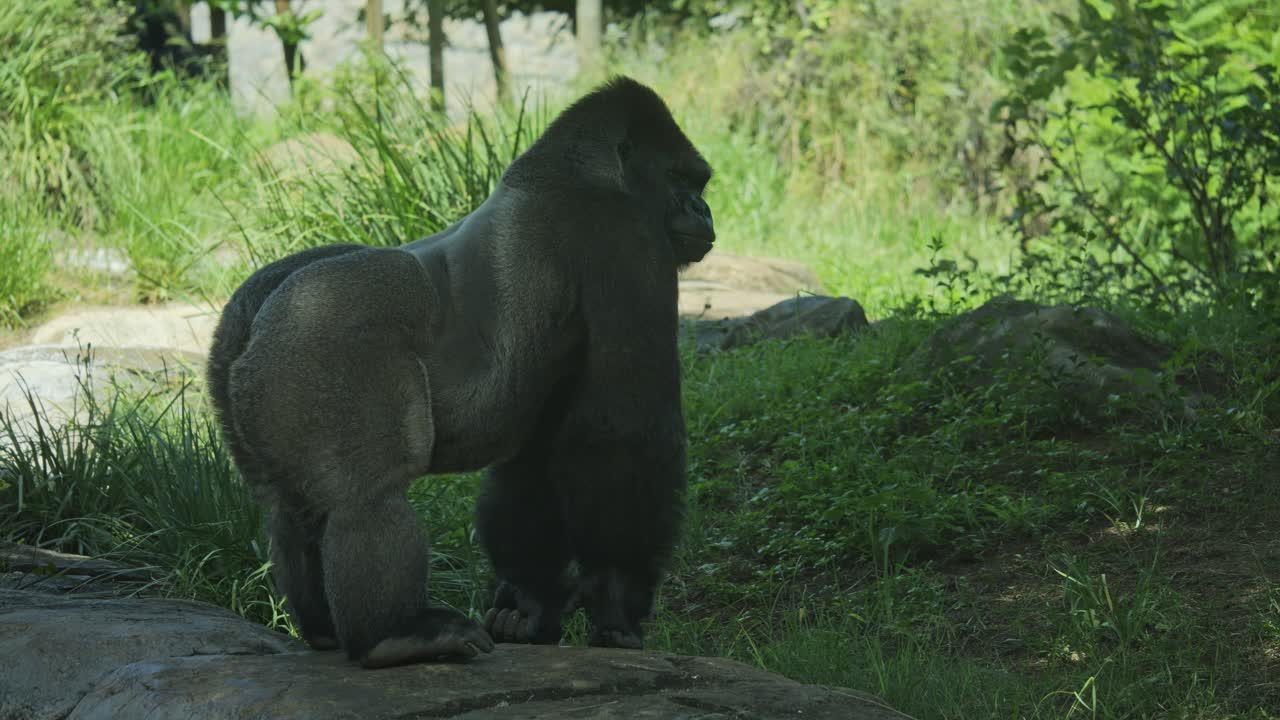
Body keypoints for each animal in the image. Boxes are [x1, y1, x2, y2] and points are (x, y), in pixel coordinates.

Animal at [205, 76, 716, 668]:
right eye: (681, 179)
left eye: (699, 183)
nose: (703, 210)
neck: (580, 168)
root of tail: (257, 313)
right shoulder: (626, 239)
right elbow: (625, 431)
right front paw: (618, 599)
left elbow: (535, 463)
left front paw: (529, 601)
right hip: (322, 336)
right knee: (366, 498)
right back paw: (391, 635)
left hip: (237, 367)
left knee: (289, 510)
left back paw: (324, 630)